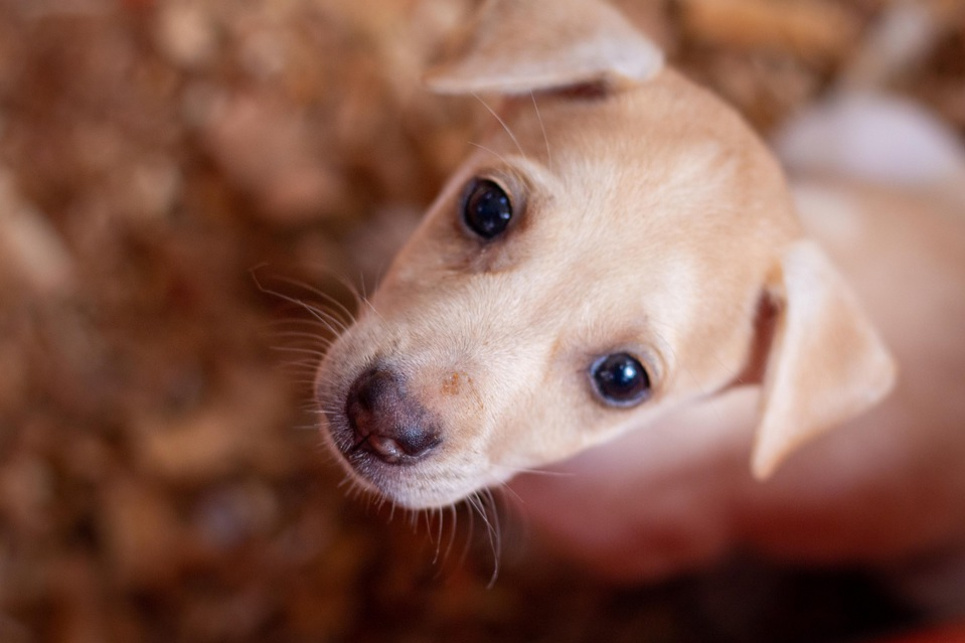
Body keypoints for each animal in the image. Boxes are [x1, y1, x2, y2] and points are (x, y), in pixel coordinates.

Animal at [316, 0, 964, 588]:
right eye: (487, 206)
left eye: (623, 379)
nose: (381, 419)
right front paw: (381, 238)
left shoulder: (639, 552)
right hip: (865, 133)